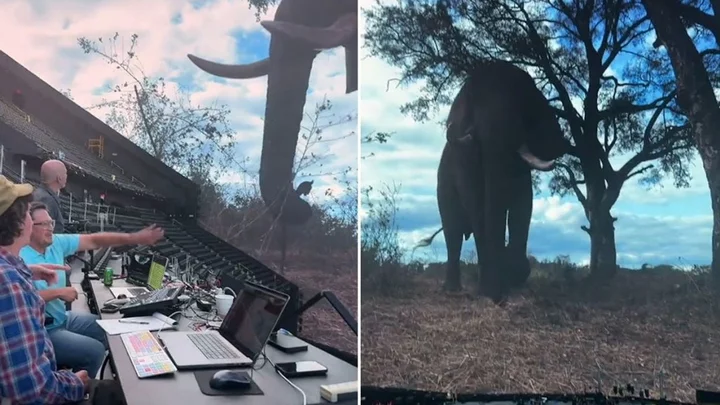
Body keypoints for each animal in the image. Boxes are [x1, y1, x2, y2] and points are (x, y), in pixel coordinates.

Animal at [420, 60, 572, 304]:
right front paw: (492, 291)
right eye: (471, 121)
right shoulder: (465, 158)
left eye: (521, 104)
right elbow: (479, 209)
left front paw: (508, 280)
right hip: (443, 186)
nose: (498, 297)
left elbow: (523, 207)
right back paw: (453, 289)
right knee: (453, 233)